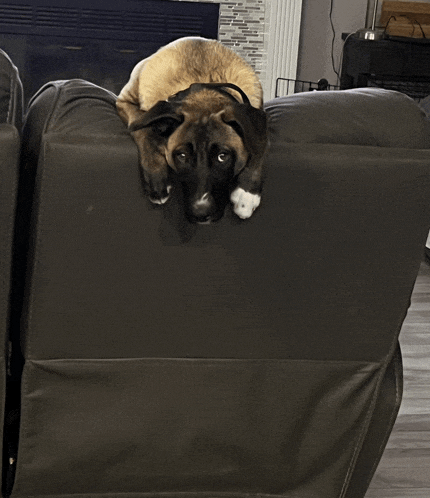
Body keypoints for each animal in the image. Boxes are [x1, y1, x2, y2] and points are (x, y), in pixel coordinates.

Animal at [116, 38, 268, 224]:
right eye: (181, 156)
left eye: (222, 156)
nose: (200, 214)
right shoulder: (125, 103)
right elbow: (143, 130)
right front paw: (156, 177)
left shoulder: (260, 117)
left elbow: (260, 145)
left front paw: (247, 194)